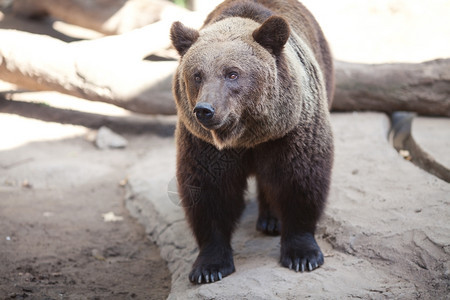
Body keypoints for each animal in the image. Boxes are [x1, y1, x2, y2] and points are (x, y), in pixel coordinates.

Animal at [171, 0, 332, 284]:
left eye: (232, 73)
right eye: (197, 74)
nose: (205, 110)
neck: (247, 136)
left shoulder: (291, 131)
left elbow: (300, 179)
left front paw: (303, 254)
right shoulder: (204, 144)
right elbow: (209, 192)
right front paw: (209, 266)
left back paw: (271, 220)